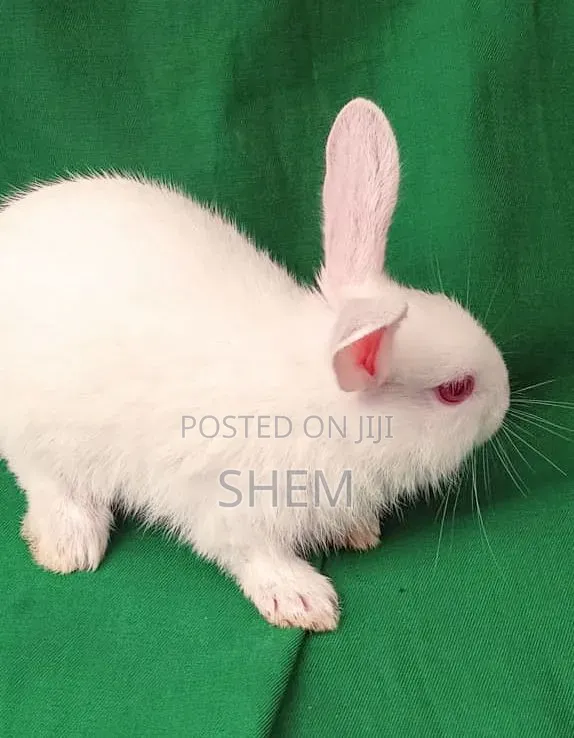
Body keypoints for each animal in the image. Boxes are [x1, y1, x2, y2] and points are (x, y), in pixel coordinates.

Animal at [0, 99, 509, 631]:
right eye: (456, 390)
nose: (506, 401)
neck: (323, 413)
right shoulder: (233, 507)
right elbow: (252, 554)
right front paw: (303, 600)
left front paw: (358, 531)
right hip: (37, 430)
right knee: (43, 478)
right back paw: (69, 543)